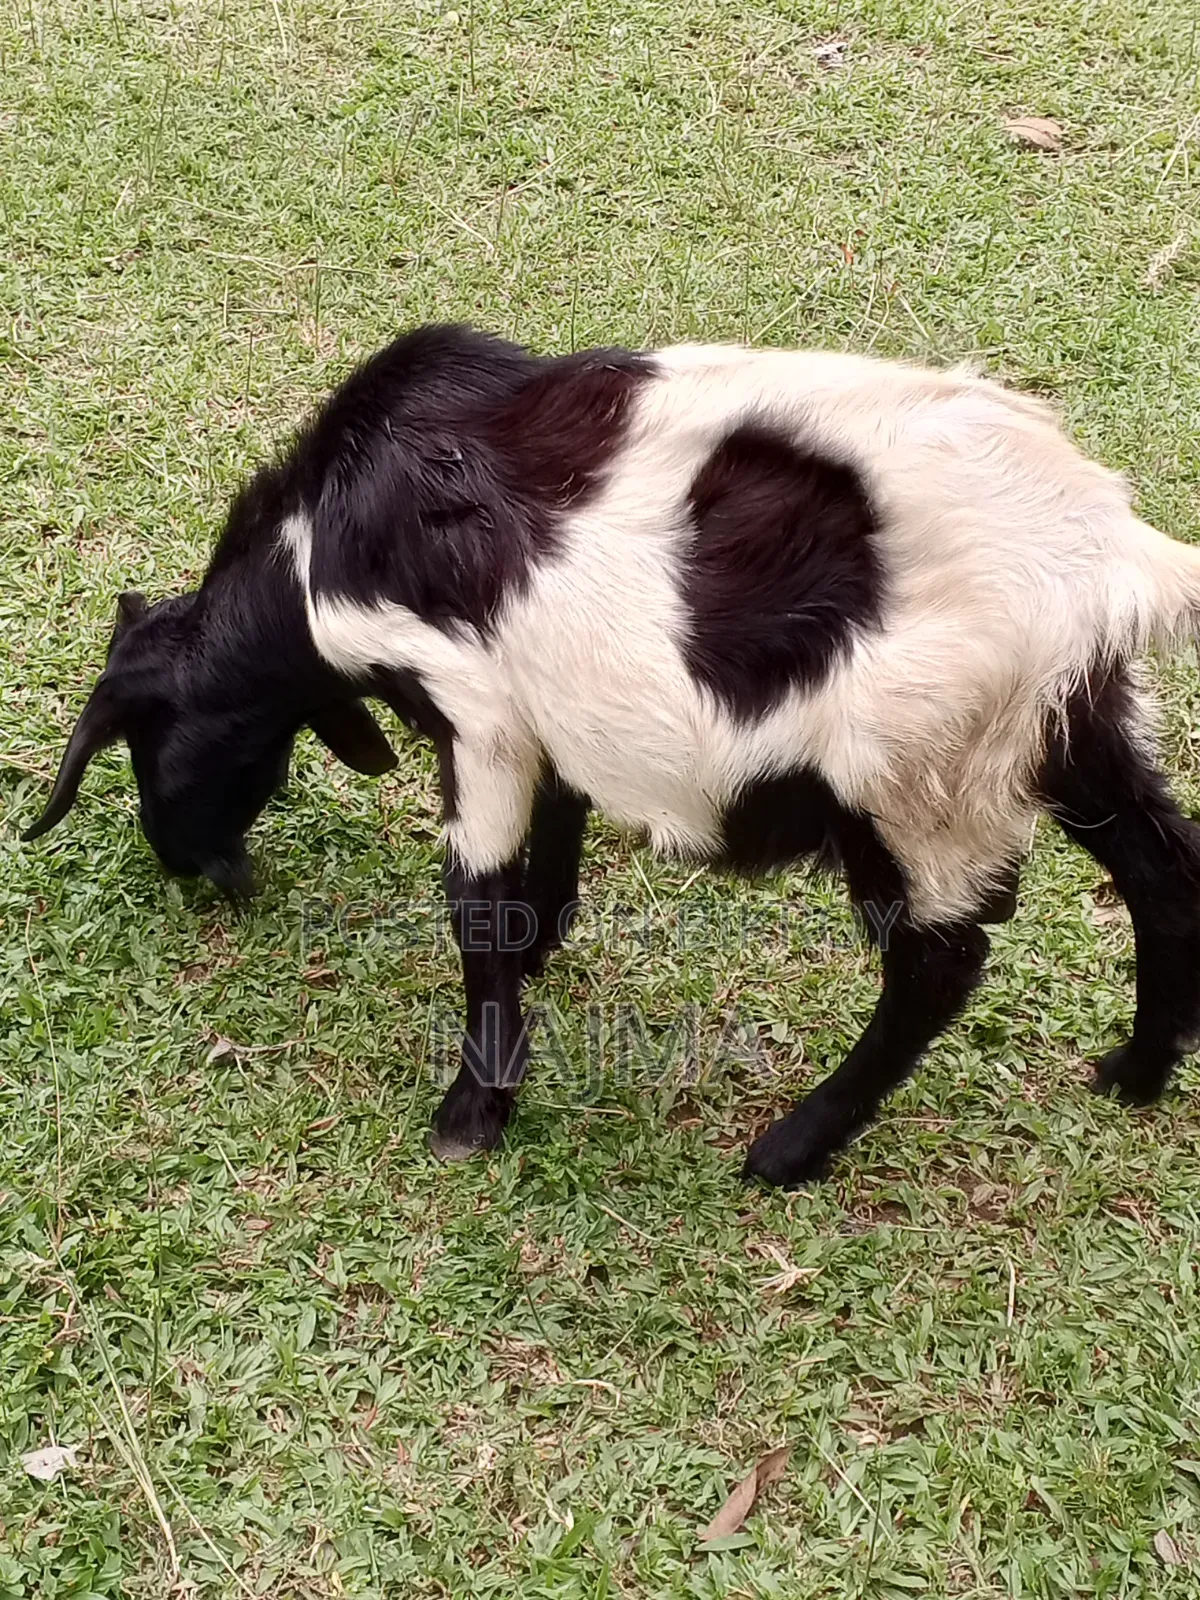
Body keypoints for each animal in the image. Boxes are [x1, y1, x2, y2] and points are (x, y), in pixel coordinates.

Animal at [24, 324, 1200, 1187]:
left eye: (144, 745)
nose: (197, 870)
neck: (318, 547)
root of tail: (1116, 558)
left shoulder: (478, 713)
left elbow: (479, 904)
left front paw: (472, 1114)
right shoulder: (542, 718)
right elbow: (554, 833)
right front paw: (546, 946)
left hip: (919, 782)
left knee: (939, 965)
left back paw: (790, 1147)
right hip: (1070, 725)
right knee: (1162, 865)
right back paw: (1139, 1070)